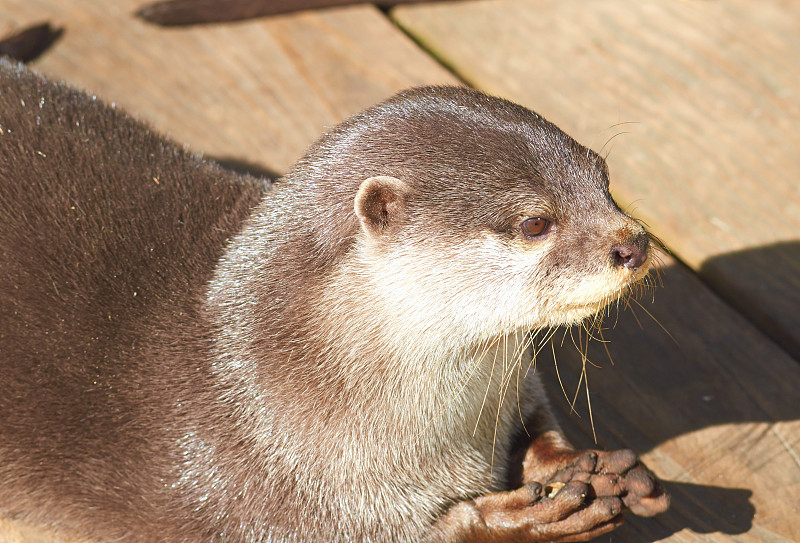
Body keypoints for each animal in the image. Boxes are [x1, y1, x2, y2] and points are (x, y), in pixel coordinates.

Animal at [0, 59, 668, 543]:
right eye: (534, 223)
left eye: (603, 179)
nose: (633, 242)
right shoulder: (267, 489)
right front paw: (518, 518)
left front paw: (583, 463)